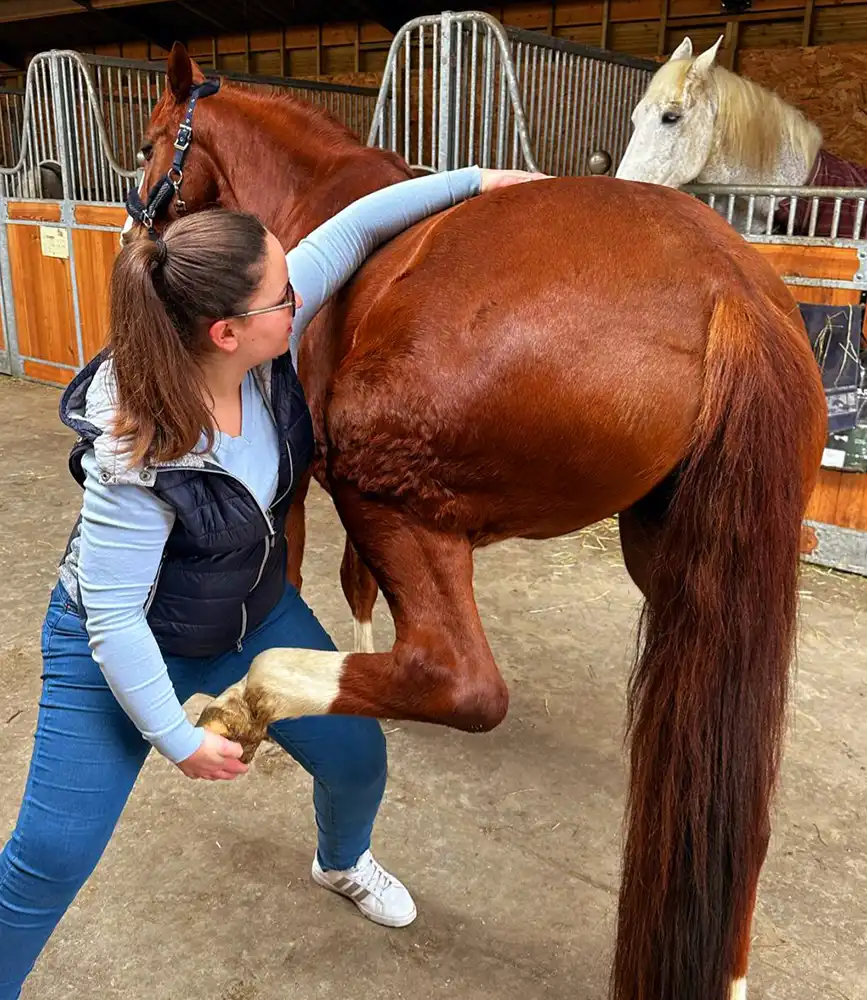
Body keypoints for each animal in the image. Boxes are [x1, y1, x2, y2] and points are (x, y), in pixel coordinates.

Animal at [126, 42, 827, 1000]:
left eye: (152, 142)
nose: (137, 232)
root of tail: (731, 290)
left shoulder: (301, 481)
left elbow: (307, 572)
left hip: (391, 494)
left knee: (459, 681)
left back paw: (255, 699)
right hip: (692, 570)